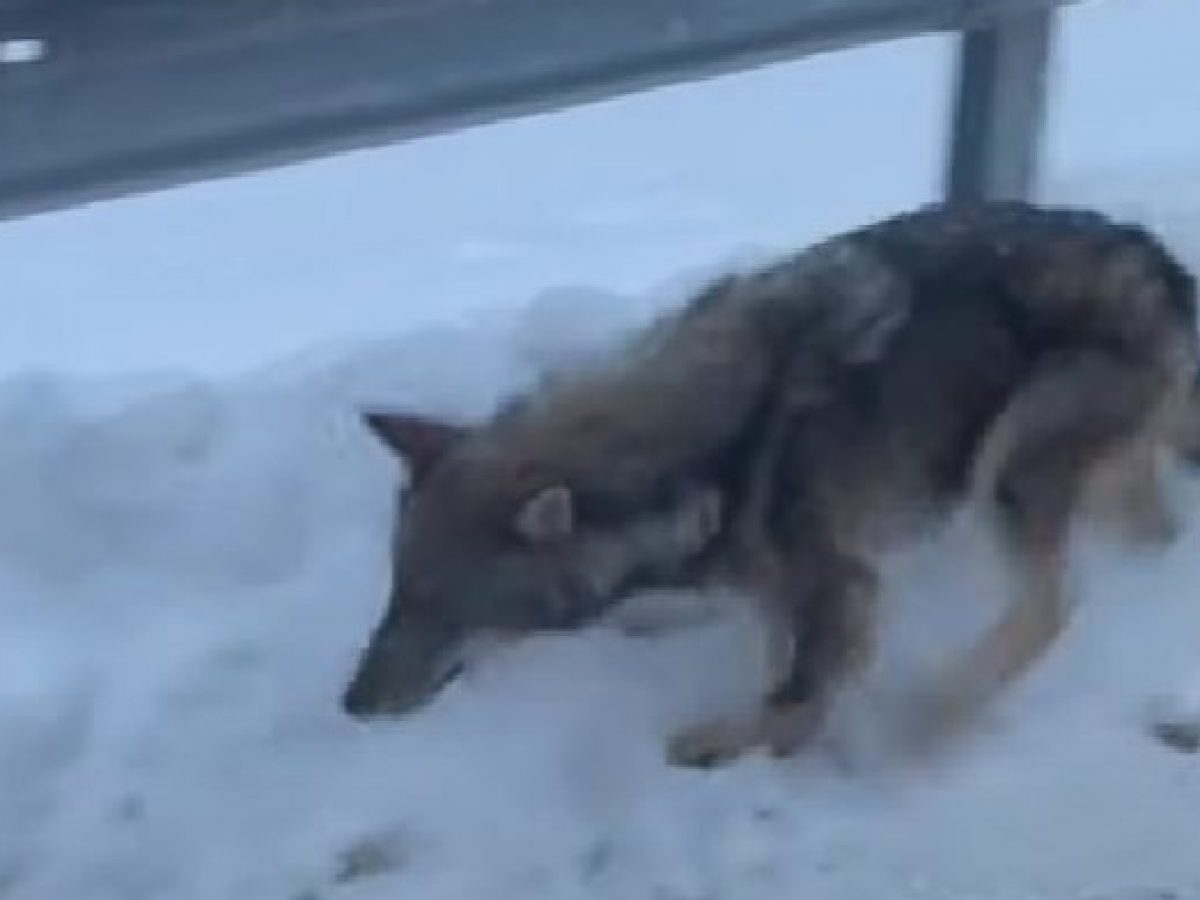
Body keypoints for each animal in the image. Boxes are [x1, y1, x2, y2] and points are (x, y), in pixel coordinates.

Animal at [341, 201, 1200, 767]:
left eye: (441, 605)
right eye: (394, 590)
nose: (350, 706)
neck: (693, 463)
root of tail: (1155, 256)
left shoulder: (839, 581)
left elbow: (795, 697)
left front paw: (735, 747)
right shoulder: (784, 587)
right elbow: (782, 662)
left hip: (1007, 471)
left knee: (1054, 605)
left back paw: (938, 714)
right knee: (1149, 532)